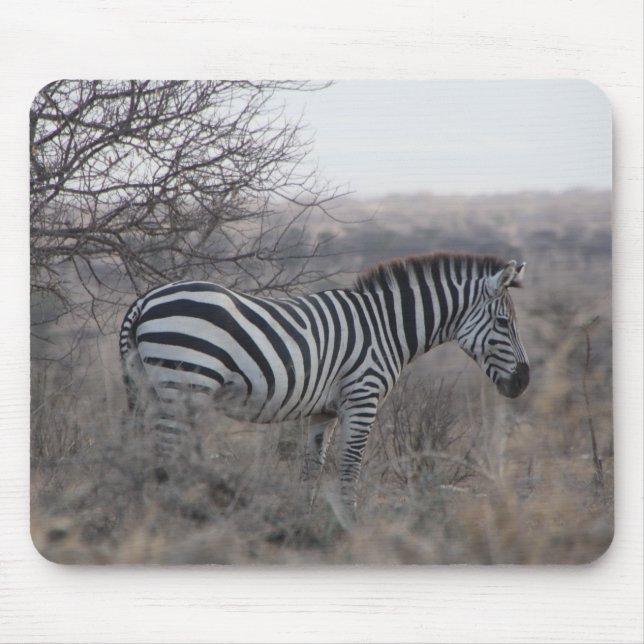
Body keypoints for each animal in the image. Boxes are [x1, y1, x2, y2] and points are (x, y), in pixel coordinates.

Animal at [120, 252, 529, 510]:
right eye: (504, 323)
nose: (524, 381)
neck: (386, 326)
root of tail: (144, 300)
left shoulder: (323, 412)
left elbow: (311, 468)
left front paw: (306, 521)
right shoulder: (362, 398)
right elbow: (350, 464)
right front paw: (349, 524)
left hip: (153, 389)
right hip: (183, 385)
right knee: (166, 455)